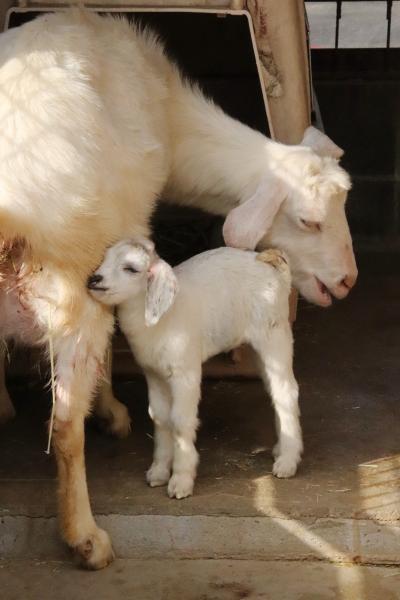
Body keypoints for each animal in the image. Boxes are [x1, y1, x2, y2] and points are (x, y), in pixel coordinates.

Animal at [0, 11, 356, 568]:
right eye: (309, 220)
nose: (347, 280)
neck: (170, 114)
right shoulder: (116, 239)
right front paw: (111, 413)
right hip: (70, 293)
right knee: (63, 426)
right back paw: (86, 538)